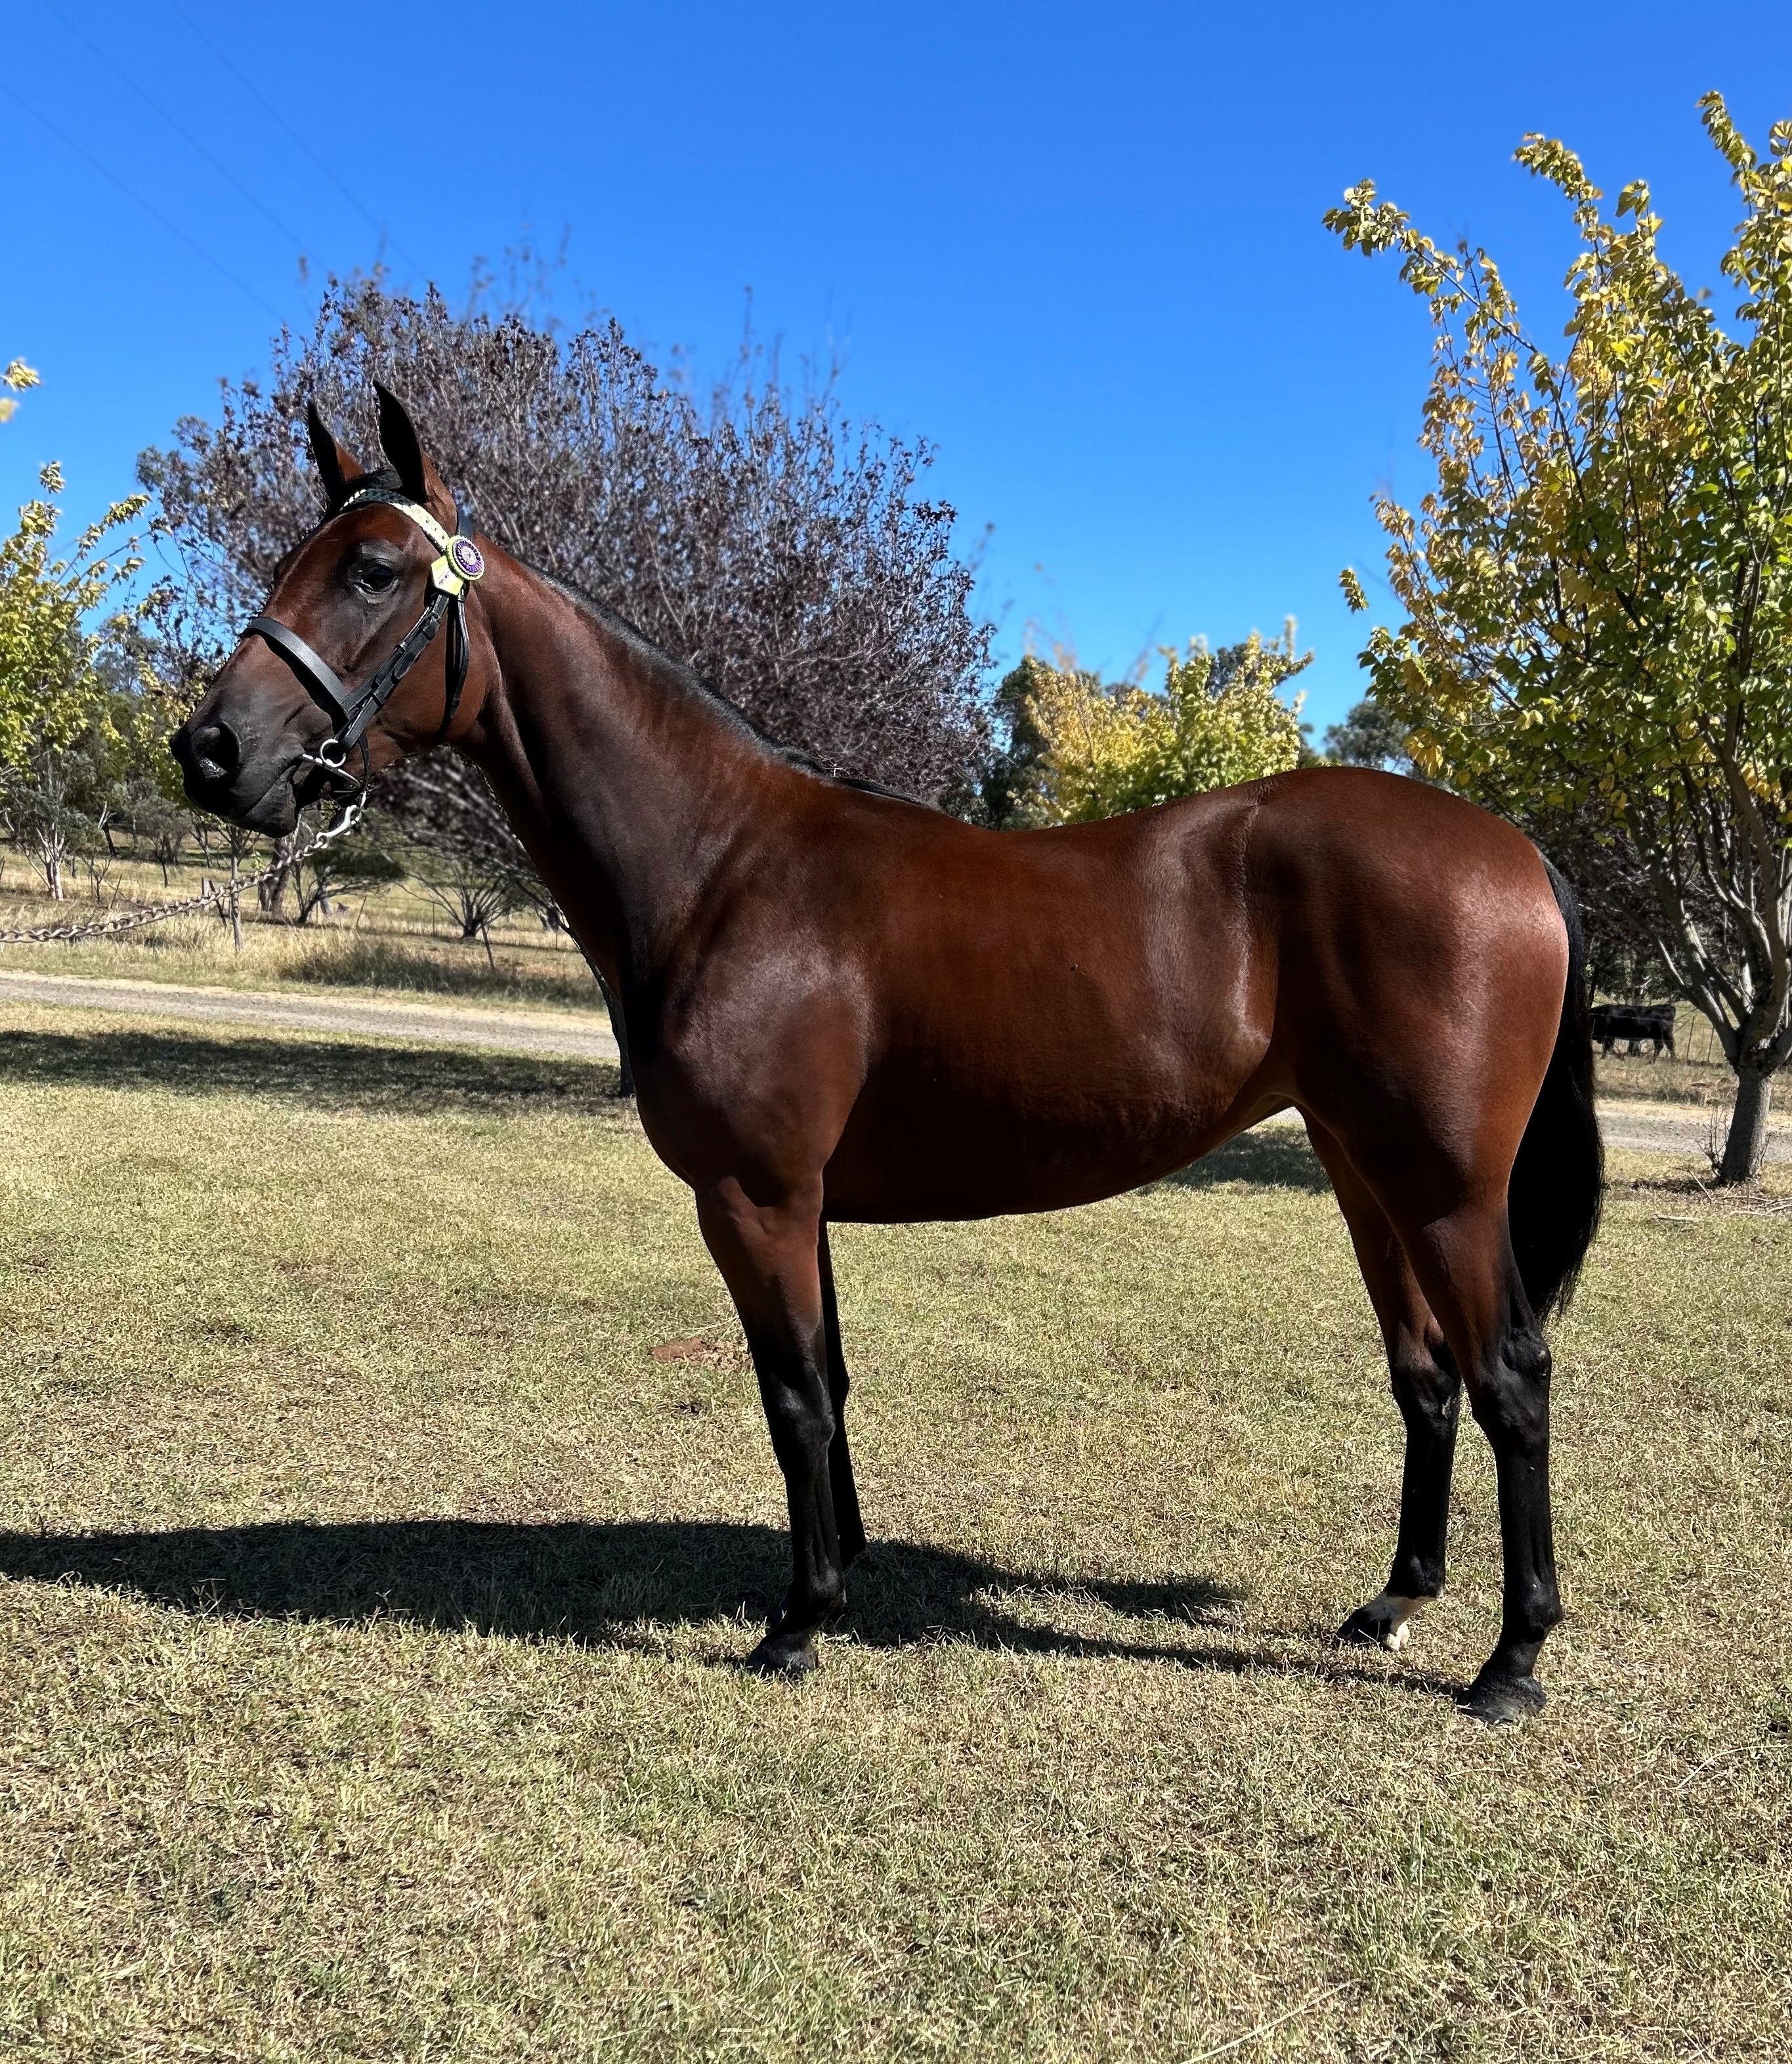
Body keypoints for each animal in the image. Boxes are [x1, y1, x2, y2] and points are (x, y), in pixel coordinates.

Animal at [171, 387, 1603, 1725]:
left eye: (373, 571)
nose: (213, 749)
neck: (724, 864)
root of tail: (1517, 852)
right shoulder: (802, 1202)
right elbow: (834, 1384)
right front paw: (842, 1570)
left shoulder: (753, 1196)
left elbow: (794, 1394)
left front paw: (799, 1621)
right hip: (1367, 1172)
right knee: (1426, 1377)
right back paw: (1392, 1602)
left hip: (1447, 1188)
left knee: (1510, 1378)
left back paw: (1514, 1659)